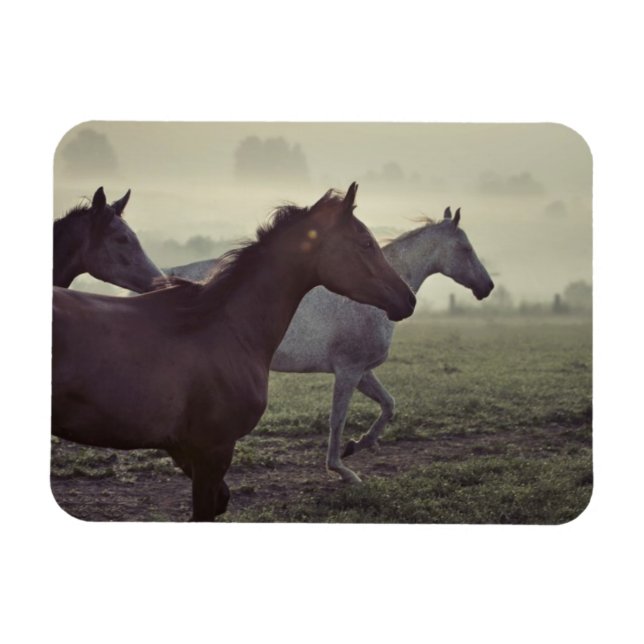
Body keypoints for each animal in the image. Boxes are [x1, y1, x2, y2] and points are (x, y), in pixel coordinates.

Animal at [52, 183, 416, 521]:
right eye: (366, 243)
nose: (409, 299)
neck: (226, 326)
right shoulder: (213, 448)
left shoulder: (183, 448)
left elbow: (220, 501)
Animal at [164, 206, 494, 483]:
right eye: (465, 248)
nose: (487, 286)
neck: (370, 298)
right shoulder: (348, 371)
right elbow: (338, 419)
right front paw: (342, 469)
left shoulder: (362, 371)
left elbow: (388, 405)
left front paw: (360, 445)